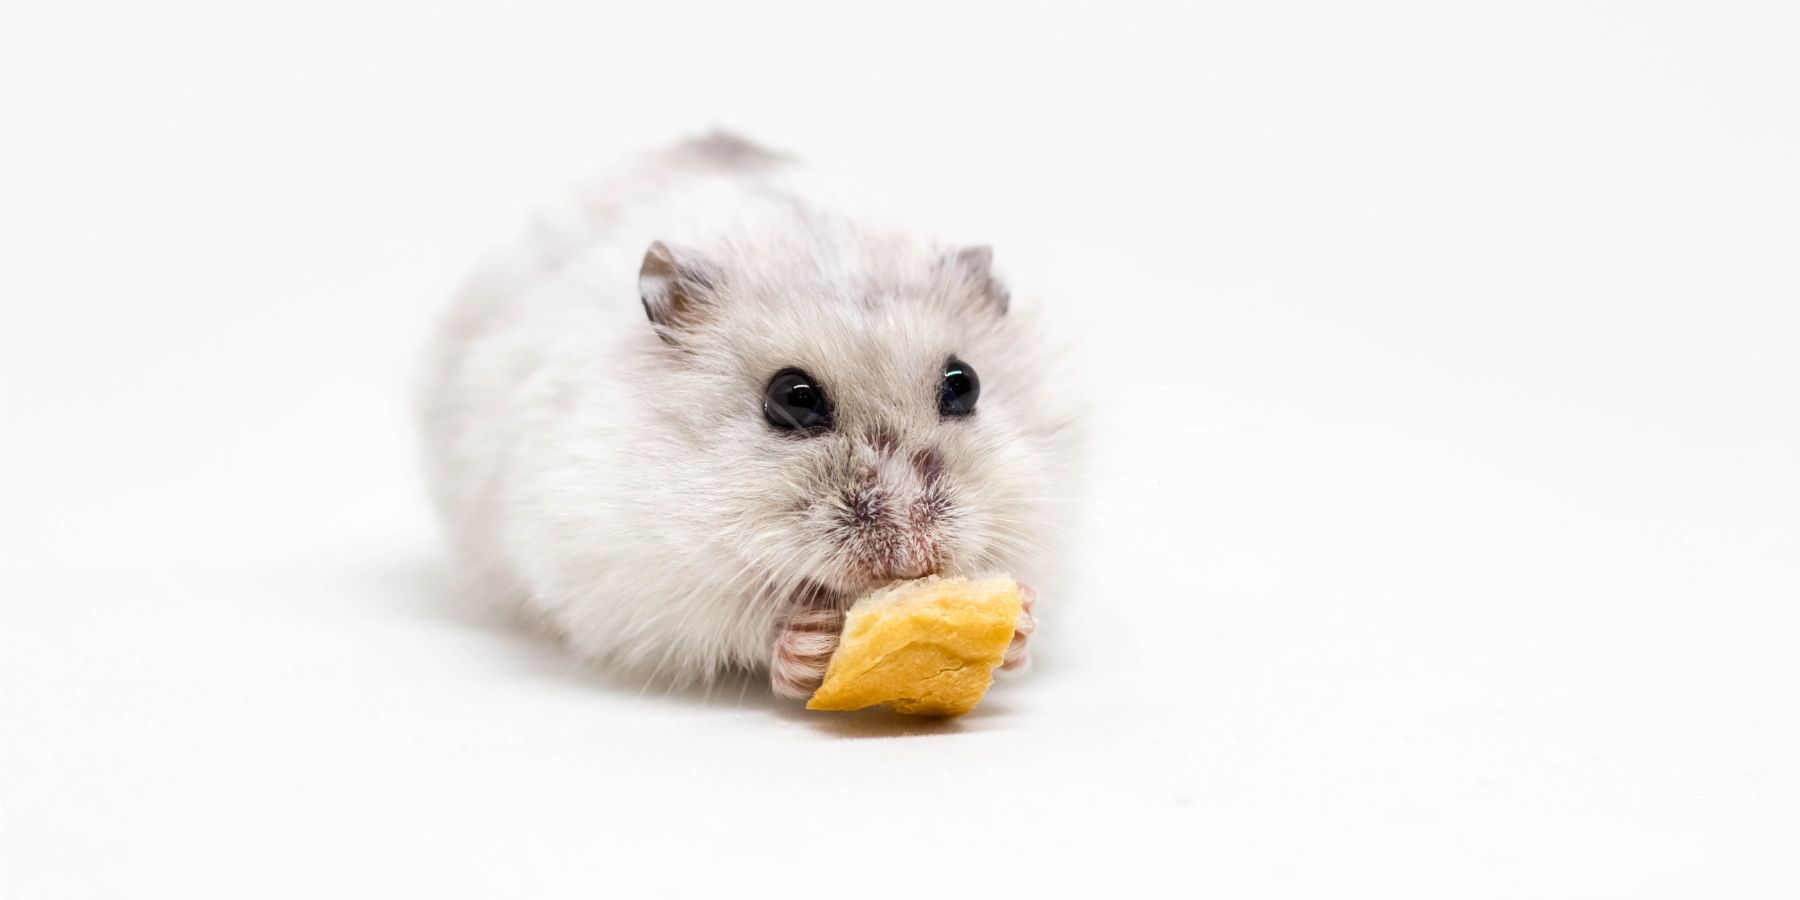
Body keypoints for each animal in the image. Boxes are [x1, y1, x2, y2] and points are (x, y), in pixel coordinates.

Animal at [417, 133, 1082, 698]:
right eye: (793, 398)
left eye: (964, 385)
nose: (914, 558)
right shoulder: (626, 563)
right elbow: (739, 618)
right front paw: (806, 645)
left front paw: (1020, 620)